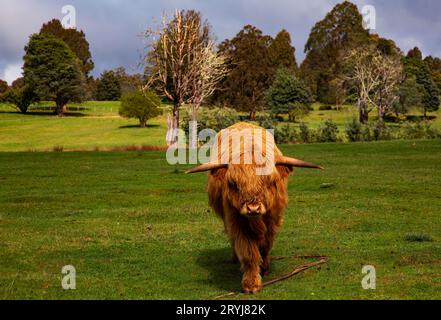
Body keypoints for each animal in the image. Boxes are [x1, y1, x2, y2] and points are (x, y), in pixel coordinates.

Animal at [186, 123, 320, 296]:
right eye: (233, 184)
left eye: (270, 182)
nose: (253, 208)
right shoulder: (237, 220)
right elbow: (248, 252)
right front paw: (251, 284)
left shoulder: (273, 218)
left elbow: (266, 245)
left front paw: (264, 267)